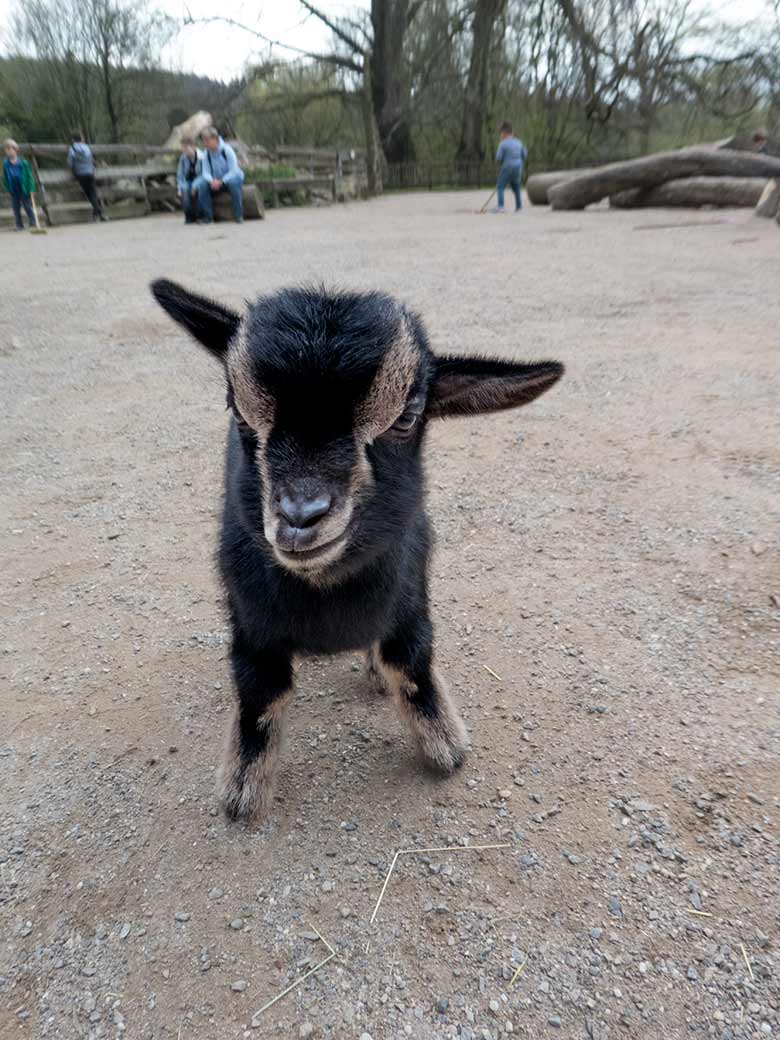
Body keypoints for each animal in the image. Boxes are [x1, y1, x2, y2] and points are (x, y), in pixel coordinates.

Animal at [150, 280, 561, 823]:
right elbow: (260, 692)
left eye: (407, 417)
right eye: (236, 408)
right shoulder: (249, 621)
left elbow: (411, 665)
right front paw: (243, 793)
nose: (300, 516)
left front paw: (444, 749)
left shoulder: (412, 598)